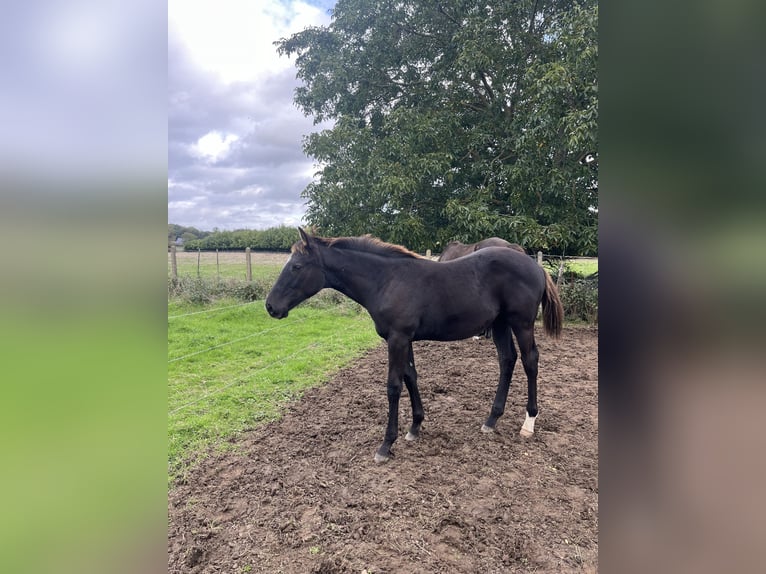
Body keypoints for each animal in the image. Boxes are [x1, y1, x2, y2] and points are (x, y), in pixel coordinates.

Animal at [268, 228, 568, 464]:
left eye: (296, 267)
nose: (271, 307)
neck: (387, 280)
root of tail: (535, 266)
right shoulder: (403, 338)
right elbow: (411, 377)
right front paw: (414, 428)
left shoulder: (398, 338)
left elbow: (393, 386)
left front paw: (386, 445)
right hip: (500, 324)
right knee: (507, 360)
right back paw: (491, 420)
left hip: (521, 323)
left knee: (530, 360)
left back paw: (528, 423)